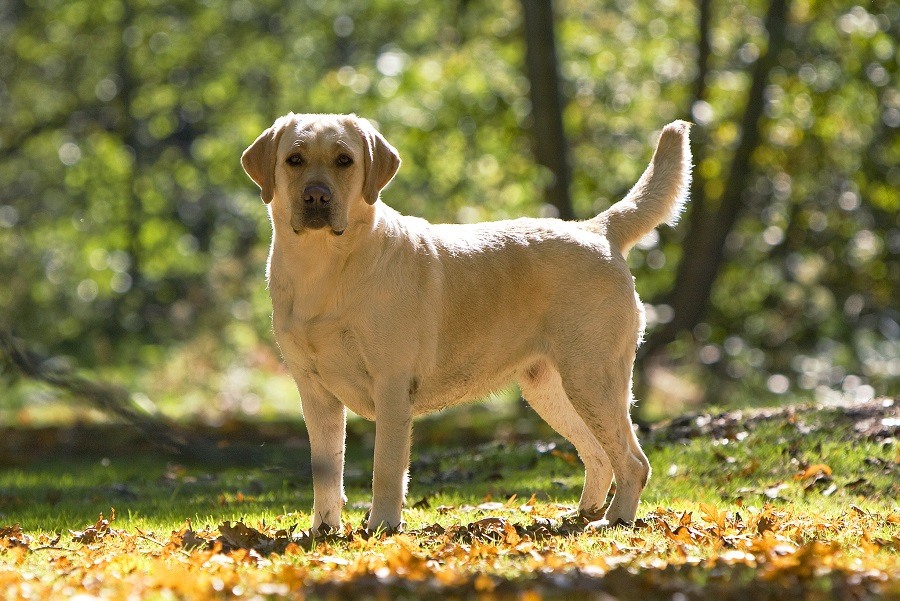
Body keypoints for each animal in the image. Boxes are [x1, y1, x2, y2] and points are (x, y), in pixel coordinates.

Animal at [239, 115, 688, 532]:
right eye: (294, 159)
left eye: (344, 160)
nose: (316, 195)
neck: (323, 268)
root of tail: (597, 229)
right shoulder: (313, 390)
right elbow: (326, 471)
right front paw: (324, 530)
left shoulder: (391, 385)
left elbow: (386, 469)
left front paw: (381, 527)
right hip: (552, 389)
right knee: (598, 454)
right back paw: (581, 515)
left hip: (591, 379)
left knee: (633, 461)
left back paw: (614, 520)